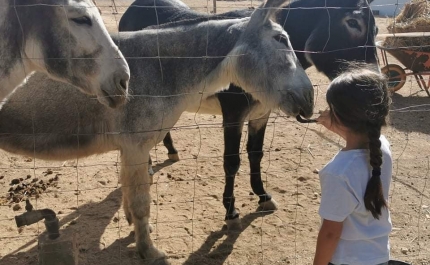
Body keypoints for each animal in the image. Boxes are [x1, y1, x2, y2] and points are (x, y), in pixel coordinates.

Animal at [119, 0, 378, 228]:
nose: (375, 85)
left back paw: (170, 151)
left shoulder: (261, 114)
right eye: (353, 23)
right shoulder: (233, 115)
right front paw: (231, 211)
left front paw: (263, 196)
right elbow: (232, 161)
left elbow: (256, 154)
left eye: (376, 29)